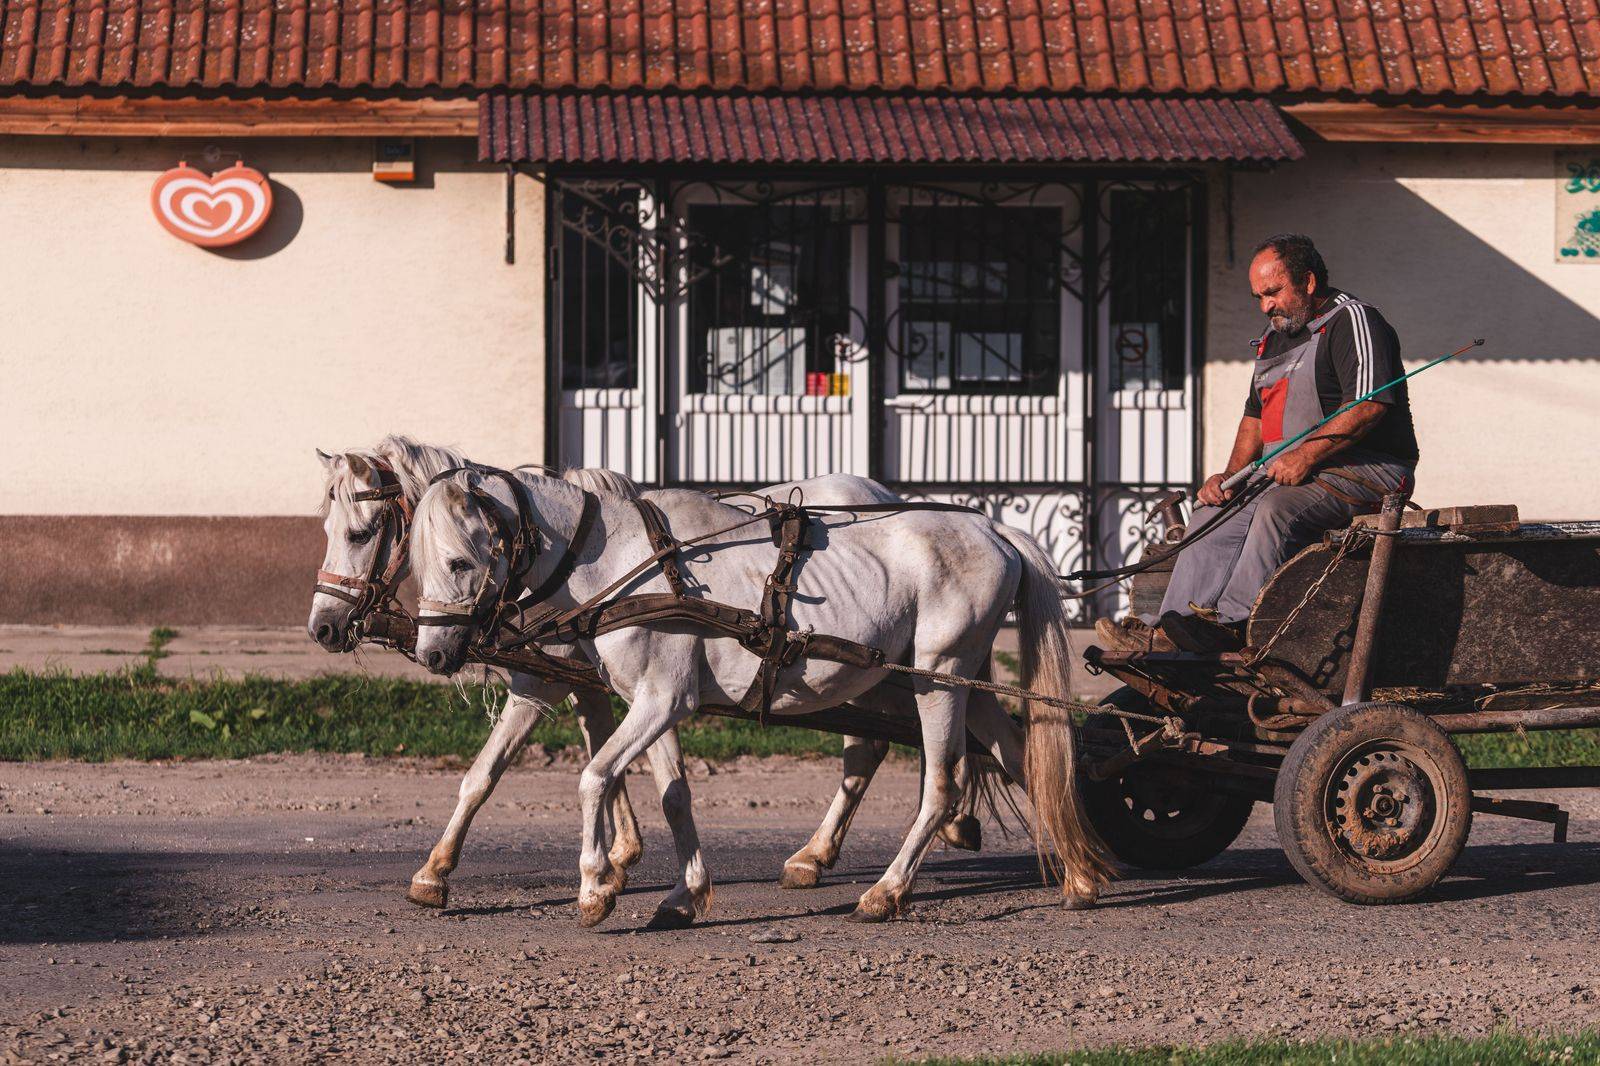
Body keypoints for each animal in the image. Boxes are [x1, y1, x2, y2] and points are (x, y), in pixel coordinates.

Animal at [308, 436, 984, 925]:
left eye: (362, 533)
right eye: (327, 532)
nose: (322, 626)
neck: (585, 563)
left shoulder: (609, 689)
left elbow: (590, 771)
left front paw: (602, 873)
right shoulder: (579, 682)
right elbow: (525, 773)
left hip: (926, 676)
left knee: (921, 763)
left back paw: (882, 872)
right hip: (878, 676)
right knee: (879, 751)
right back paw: (836, 854)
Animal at [408, 468, 1111, 926]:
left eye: (460, 562)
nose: (433, 654)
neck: (627, 564)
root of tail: (996, 531)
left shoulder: (661, 700)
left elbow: (594, 777)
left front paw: (594, 888)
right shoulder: (651, 700)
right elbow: (672, 793)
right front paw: (684, 893)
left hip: (939, 675)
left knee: (941, 784)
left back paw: (886, 891)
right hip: (963, 682)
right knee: (1028, 761)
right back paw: (1081, 874)